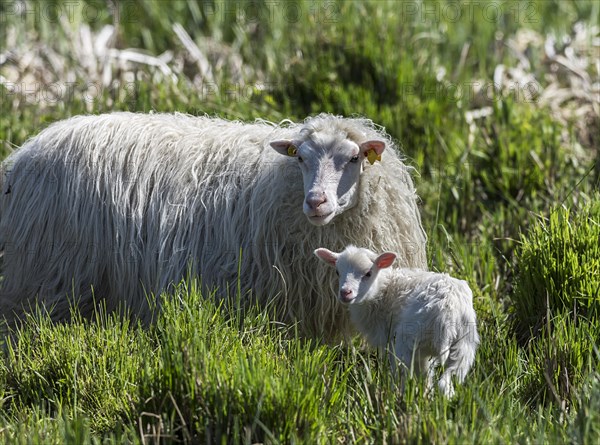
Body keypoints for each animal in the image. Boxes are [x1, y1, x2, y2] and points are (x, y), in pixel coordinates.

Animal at [314, 243, 478, 396]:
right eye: (337, 271)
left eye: (368, 273)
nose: (345, 293)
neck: (383, 289)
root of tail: (447, 309)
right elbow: (426, 378)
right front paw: (426, 395)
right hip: (464, 346)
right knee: (448, 380)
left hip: (408, 340)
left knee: (404, 374)